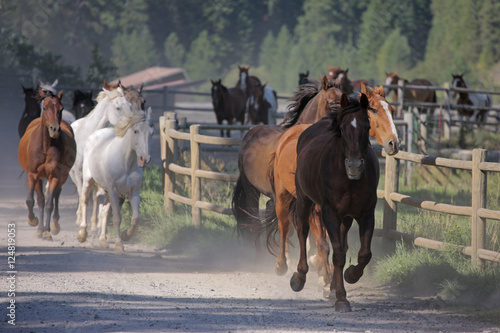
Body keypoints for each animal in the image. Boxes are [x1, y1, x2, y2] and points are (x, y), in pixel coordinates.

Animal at [17, 88, 76, 239]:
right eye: (45, 107)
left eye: (61, 109)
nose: (54, 130)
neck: (45, 147)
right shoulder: (33, 175)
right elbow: (32, 200)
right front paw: (34, 222)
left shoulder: (55, 176)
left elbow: (50, 203)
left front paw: (48, 231)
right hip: (40, 178)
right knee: (42, 199)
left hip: (63, 176)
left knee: (55, 195)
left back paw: (54, 225)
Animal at [76, 107, 153, 250]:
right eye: (136, 131)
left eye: (152, 133)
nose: (144, 159)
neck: (125, 162)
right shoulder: (113, 190)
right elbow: (117, 217)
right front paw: (119, 245)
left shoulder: (133, 192)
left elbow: (136, 218)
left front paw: (125, 235)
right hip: (89, 182)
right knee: (84, 201)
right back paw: (82, 234)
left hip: (107, 192)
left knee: (104, 212)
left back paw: (103, 241)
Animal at [290, 93, 378, 312]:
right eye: (343, 128)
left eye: (367, 126)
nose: (354, 165)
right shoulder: (329, 213)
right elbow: (337, 253)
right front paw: (341, 298)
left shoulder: (366, 213)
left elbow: (364, 253)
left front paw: (350, 275)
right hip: (304, 201)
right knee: (302, 231)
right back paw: (299, 277)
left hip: (345, 218)